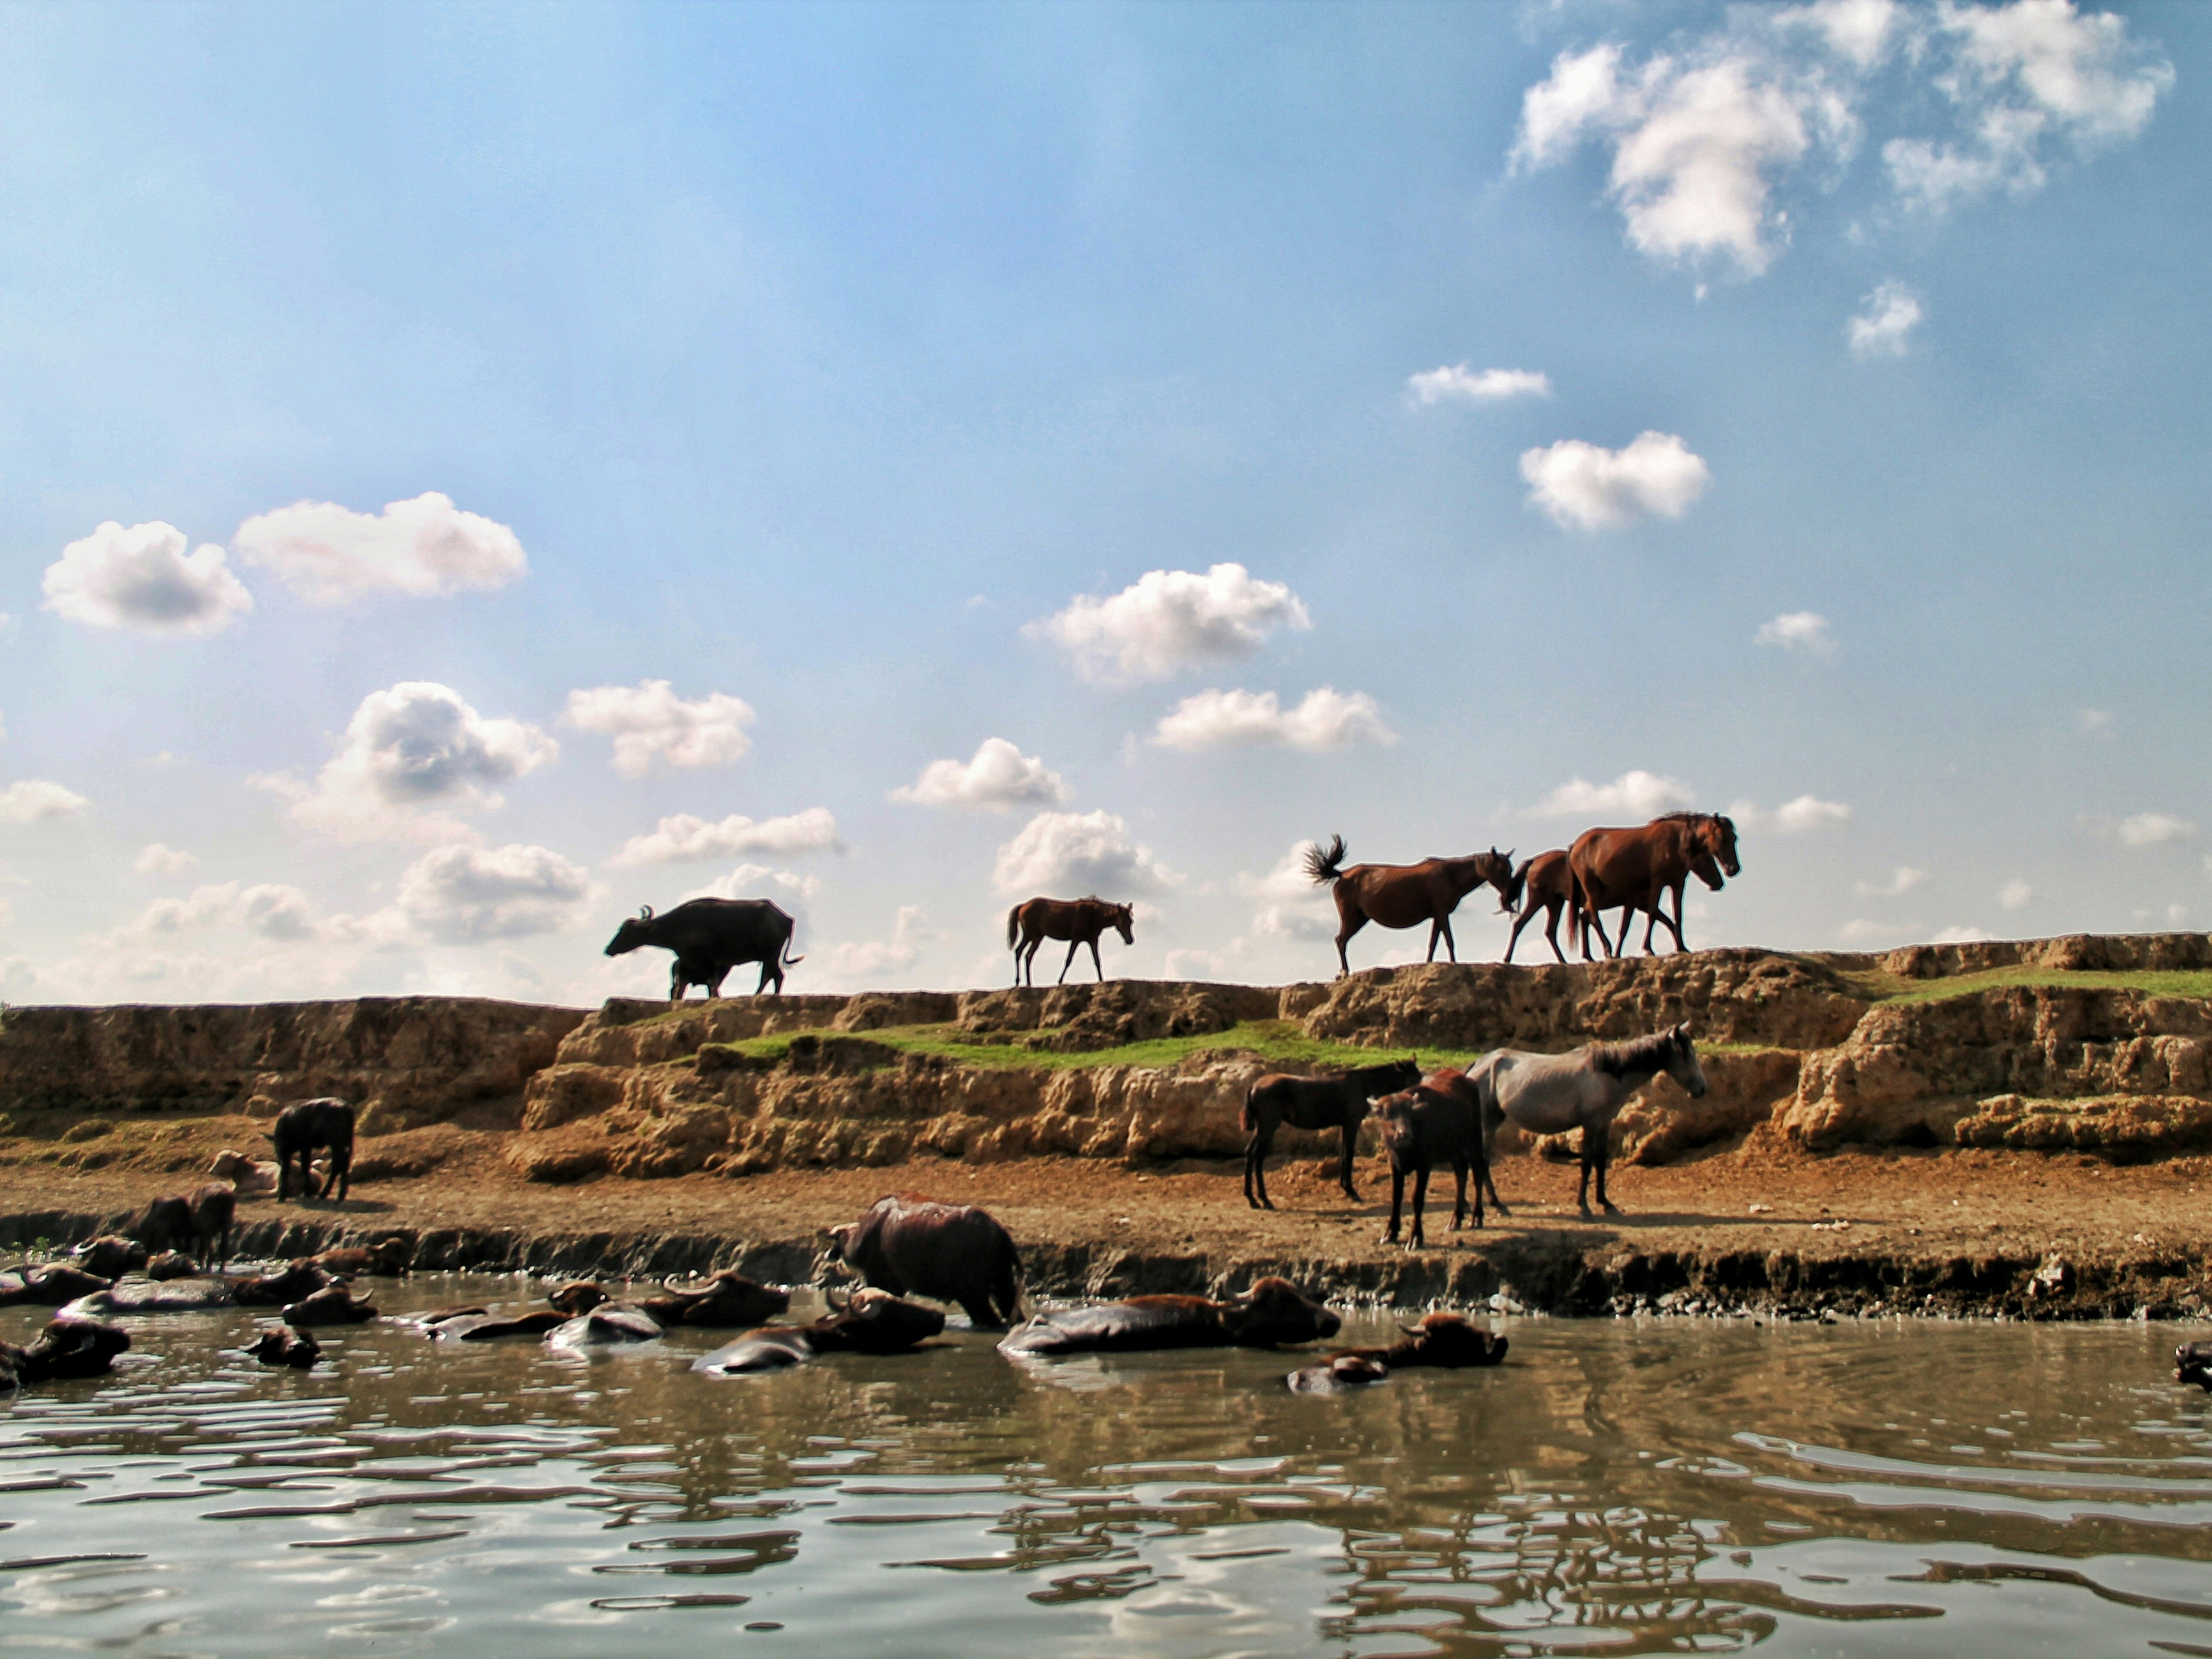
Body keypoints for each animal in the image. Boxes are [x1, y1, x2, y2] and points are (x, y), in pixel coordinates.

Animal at [1007, 896, 1134, 986]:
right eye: (1123, 921)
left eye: (1131, 921)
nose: (1130, 940)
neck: (1093, 915)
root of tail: (1023, 906)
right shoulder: (1075, 939)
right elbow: (1069, 960)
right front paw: (1060, 981)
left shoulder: (1093, 941)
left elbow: (1097, 961)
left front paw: (1101, 981)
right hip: (1029, 934)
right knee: (1019, 951)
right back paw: (1018, 982)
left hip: (1038, 937)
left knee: (1029, 956)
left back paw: (1029, 983)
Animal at [1240, 1058, 1423, 1209]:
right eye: (1413, 1078)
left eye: (1419, 1076)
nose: (1418, 1100)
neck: (1363, 1085)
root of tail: (1254, 1086)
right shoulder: (1352, 1123)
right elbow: (1349, 1154)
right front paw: (1351, 1191)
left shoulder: (1344, 1125)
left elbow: (1343, 1153)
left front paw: (1346, 1188)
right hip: (1268, 1126)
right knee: (1257, 1155)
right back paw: (1264, 1199)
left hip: (1261, 1128)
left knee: (1249, 1153)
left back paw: (1252, 1199)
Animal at [1302, 835, 1516, 976]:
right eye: (1501, 869)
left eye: (1510, 868)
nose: (1510, 896)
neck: (1451, 875)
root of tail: (1341, 874)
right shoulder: (1442, 913)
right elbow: (1449, 940)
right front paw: (1454, 964)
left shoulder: (1437, 915)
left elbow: (1433, 943)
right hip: (1351, 917)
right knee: (1341, 940)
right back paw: (1345, 972)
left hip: (1360, 918)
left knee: (1342, 940)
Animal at [1460, 1024, 1706, 1217]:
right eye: (1686, 1054)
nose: (1702, 1089)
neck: (1607, 1071)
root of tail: (1479, 1064)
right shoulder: (1590, 1125)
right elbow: (1587, 1162)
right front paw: (1584, 1207)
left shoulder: (1604, 1124)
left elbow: (1601, 1162)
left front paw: (1606, 1203)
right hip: (1488, 1122)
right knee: (1482, 1160)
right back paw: (1497, 1204)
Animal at [1566, 813, 1740, 959]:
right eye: (1723, 838)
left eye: (1734, 838)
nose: (1734, 869)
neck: (1676, 841)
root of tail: (1576, 846)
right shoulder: (1658, 882)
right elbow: (1652, 914)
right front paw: (1649, 949)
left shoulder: (1677, 884)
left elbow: (1677, 915)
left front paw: (1682, 947)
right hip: (1592, 889)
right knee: (1593, 916)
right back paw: (1608, 949)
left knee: (1587, 916)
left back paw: (1590, 956)